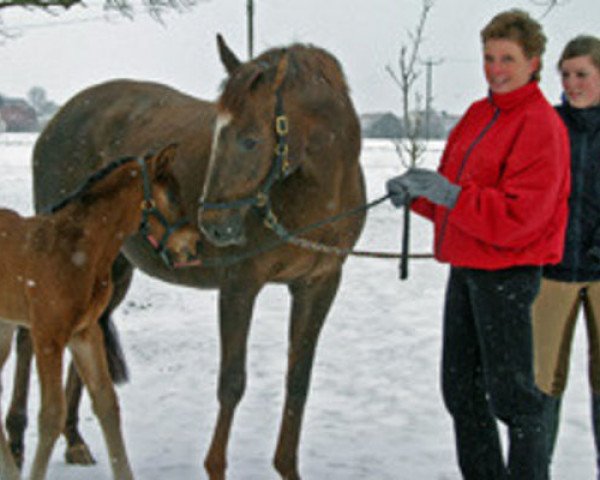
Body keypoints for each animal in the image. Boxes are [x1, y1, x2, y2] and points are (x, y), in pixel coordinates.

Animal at [9, 34, 366, 480]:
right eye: (217, 135)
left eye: (250, 139)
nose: (212, 225)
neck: (319, 191)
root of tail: (57, 120)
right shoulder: (240, 284)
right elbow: (232, 381)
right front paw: (215, 467)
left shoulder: (318, 285)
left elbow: (298, 380)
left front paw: (287, 468)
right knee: (28, 337)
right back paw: (16, 441)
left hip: (109, 271)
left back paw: (74, 441)